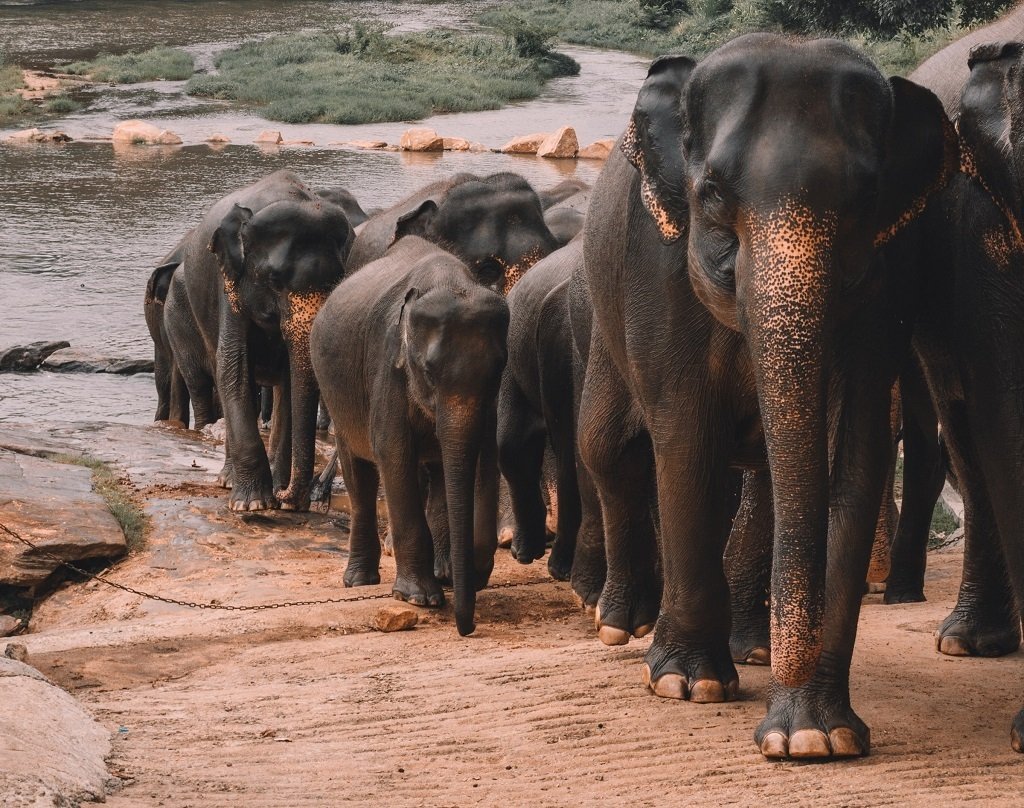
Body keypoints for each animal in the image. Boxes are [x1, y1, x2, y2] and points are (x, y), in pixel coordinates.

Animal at [169, 169, 354, 509]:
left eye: (338, 280)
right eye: (274, 280)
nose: (288, 496)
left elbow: (291, 381)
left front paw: (279, 495)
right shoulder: (228, 282)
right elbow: (233, 366)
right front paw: (253, 503)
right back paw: (229, 480)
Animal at [307, 234, 507, 634]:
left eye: (498, 370)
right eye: (428, 371)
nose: (467, 628)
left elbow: (473, 459)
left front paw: (459, 576)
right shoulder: (388, 366)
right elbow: (393, 453)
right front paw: (419, 598)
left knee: (435, 471)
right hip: (338, 394)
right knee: (360, 474)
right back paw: (359, 581)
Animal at [577, 34, 958, 757]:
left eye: (867, 196)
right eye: (712, 192)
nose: (791, 660)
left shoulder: (889, 277)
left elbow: (853, 453)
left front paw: (814, 737)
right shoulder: (656, 265)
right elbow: (685, 437)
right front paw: (688, 686)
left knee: (763, 481)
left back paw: (751, 647)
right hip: (603, 317)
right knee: (608, 448)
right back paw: (620, 625)